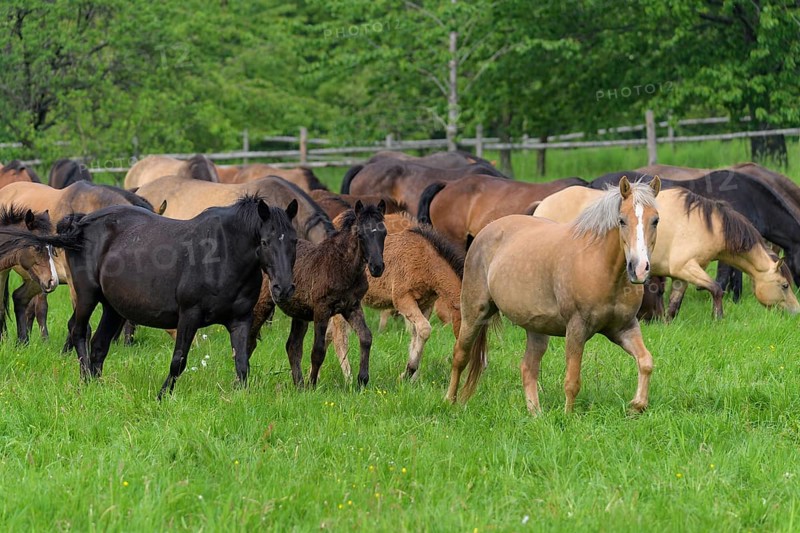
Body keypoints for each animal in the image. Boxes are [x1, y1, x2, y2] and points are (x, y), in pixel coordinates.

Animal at [55, 196, 299, 397]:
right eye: (265, 242)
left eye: (294, 241)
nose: (283, 288)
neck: (223, 255)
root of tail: (82, 222)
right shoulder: (189, 315)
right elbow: (178, 361)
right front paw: (162, 396)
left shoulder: (240, 320)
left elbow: (242, 363)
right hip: (87, 295)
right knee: (79, 332)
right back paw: (85, 381)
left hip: (112, 307)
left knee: (99, 346)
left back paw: (96, 385)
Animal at [248, 201, 386, 388]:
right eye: (360, 234)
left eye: (384, 233)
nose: (377, 267)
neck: (342, 266)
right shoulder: (322, 309)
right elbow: (318, 350)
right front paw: (312, 385)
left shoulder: (352, 306)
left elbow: (366, 337)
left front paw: (362, 380)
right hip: (263, 304)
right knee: (250, 341)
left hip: (299, 314)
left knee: (292, 346)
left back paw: (298, 385)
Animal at [328, 220, 464, 381]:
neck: (426, 261)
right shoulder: (402, 299)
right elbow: (424, 330)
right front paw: (408, 373)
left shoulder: (425, 305)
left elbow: (416, 335)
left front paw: (410, 378)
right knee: (339, 338)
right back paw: (348, 378)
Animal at [446, 178, 661, 414]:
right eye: (622, 220)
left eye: (655, 220)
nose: (639, 269)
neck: (601, 267)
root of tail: (486, 231)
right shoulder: (576, 329)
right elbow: (572, 381)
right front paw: (568, 416)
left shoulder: (624, 328)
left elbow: (646, 362)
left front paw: (637, 405)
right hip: (474, 313)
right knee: (460, 356)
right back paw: (449, 401)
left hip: (536, 329)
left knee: (528, 368)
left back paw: (535, 413)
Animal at [535, 185, 800, 319]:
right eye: (784, 285)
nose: (796, 310)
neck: (707, 223)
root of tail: (542, 203)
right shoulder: (687, 267)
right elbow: (716, 288)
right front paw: (718, 317)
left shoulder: (683, 274)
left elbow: (675, 300)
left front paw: (667, 321)